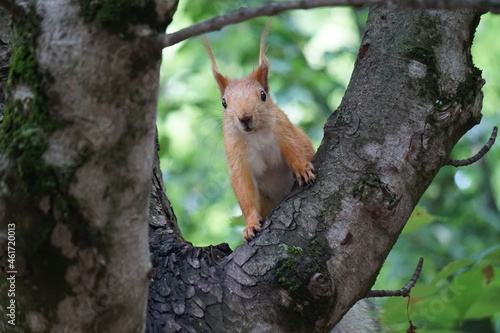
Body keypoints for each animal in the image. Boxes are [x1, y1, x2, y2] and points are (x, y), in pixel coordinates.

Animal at [202, 24, 312, 240]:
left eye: (263, 95)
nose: (245, 117)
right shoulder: (237, 157)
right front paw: (251, 225)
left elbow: (294, 150)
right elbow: (244, 189)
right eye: (224, 103)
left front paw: (302, 169)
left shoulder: (285, 132)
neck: (256, 135)